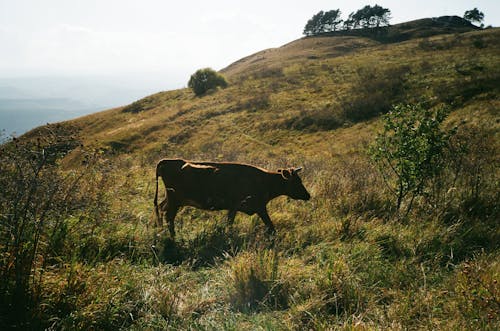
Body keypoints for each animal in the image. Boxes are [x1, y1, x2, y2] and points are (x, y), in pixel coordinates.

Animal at [152, 160, 310, 237]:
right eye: (296, 182)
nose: (308, 195)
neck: (264, 180)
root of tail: (168, 161)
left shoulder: (234, 208)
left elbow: (229, 223)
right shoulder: (259, 207)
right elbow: (271, 227)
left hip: (170, 199)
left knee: (160, 208)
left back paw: (161, 231)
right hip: (175, 201)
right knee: (169, 217)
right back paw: (173, 237)